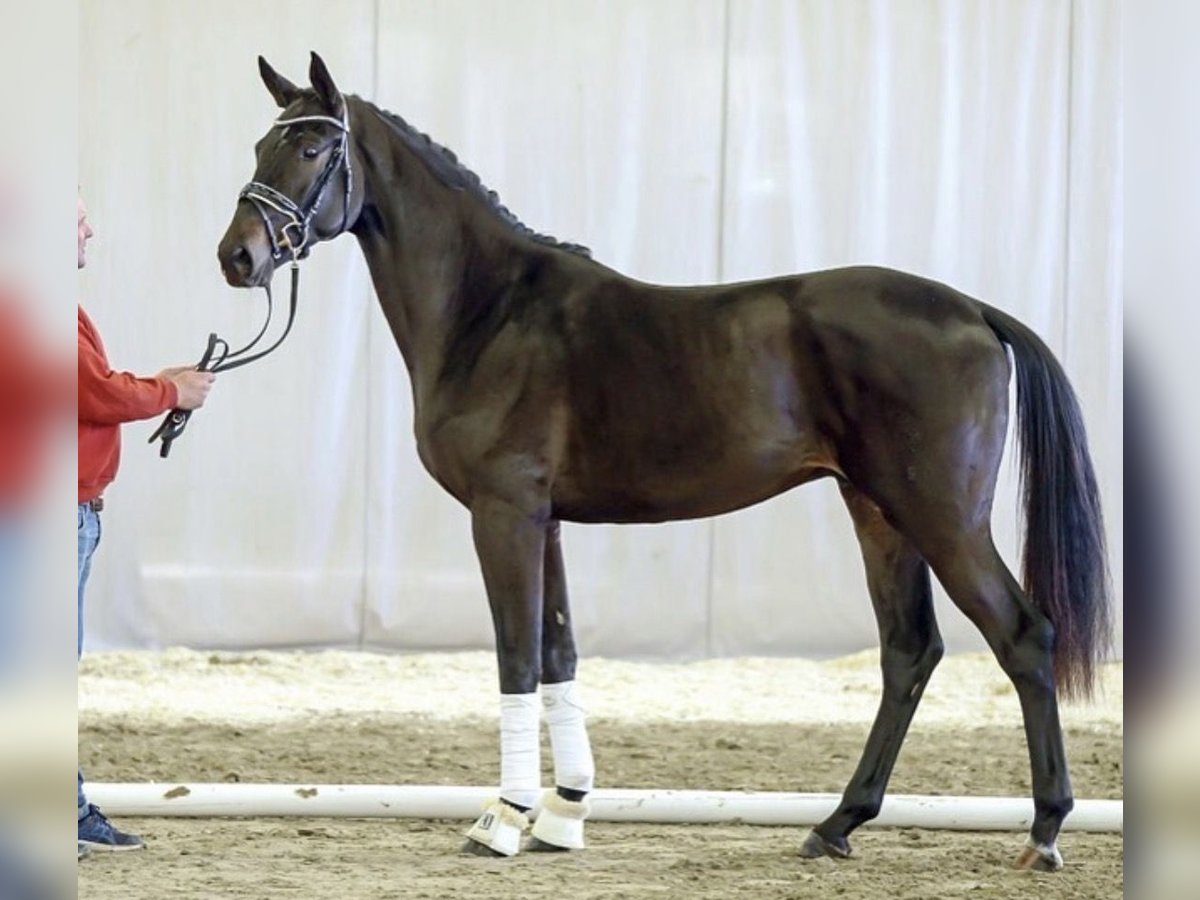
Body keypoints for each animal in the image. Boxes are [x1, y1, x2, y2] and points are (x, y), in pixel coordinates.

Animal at [217, 52, 1110, 872]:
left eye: (310, 149)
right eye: (260, 145)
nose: (237, 256)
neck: (492, 310)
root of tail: (974, 312)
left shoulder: (505, 515)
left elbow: (515, 657)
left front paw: (504, 819)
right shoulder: (544, 522)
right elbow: (558, 655)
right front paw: (563, 815)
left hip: (943, 517)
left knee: (1022, 637)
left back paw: (1043, 832)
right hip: (880, 513)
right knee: (908, 651)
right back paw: (836, 824)